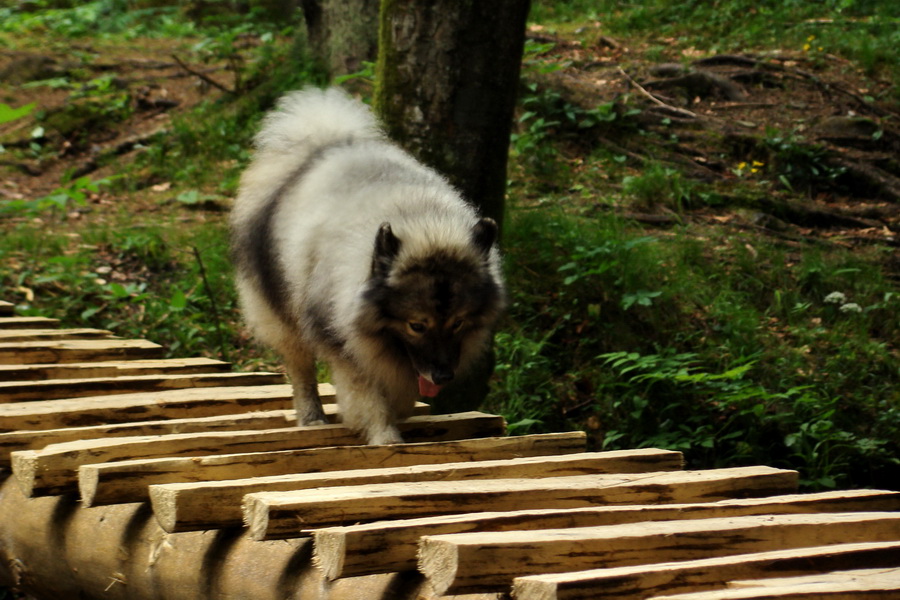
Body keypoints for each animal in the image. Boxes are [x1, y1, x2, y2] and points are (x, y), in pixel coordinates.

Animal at [229, 89, 506, 446]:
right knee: (300, 367)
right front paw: (384, 436)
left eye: (458, 323)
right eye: (417, 325)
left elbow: (400, 390)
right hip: (280, 310)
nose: (444, 375)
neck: (423, 223)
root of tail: (319, 144)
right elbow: (367, 393)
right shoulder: (343, 339)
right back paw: (312, 417)